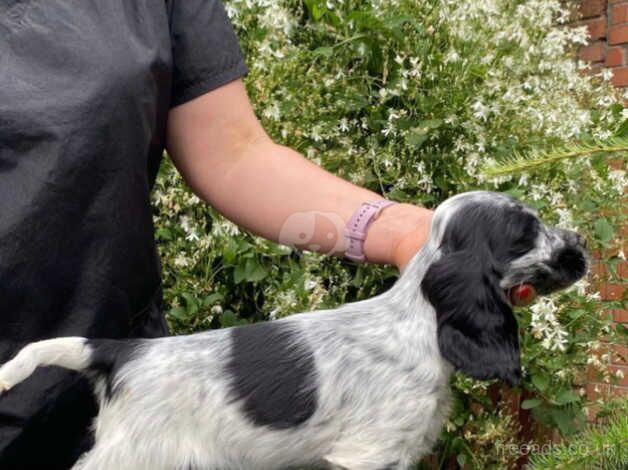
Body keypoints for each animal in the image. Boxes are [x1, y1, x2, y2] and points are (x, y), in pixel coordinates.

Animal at [1, 192, 588, 470]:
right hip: (135, 457)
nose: (579, 246)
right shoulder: (369, 455)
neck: (414, 325)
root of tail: (122, 353)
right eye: (526, 232)